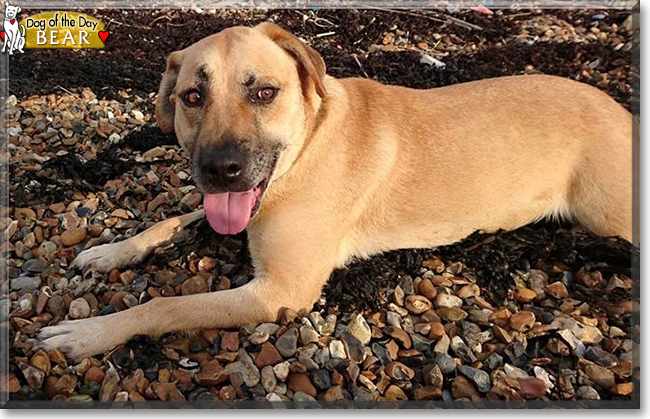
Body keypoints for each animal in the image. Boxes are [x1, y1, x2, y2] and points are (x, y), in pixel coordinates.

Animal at [36, 23, 632, 360]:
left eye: (264, 92)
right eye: (192, 96)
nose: (221, 170)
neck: (306, 150)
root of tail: (620, 109)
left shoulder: (279, 292)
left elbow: (163, 305)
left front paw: (89, 333)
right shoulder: (236, 209)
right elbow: (167, 220)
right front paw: (111, 251)